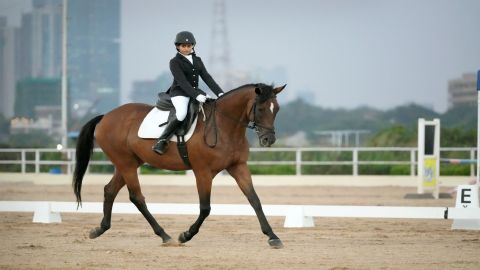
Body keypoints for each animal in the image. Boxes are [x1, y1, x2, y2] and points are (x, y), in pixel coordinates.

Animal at [72, 83, 284, 249]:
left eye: (277, 109)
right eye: (261, 109)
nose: (269, 140)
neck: (224, 126)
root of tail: (106, 116)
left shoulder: (238, 166)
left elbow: (255, 200)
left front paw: (273, 237)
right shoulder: (203, 172)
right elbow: (205, 208)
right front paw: (186, 235)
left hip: (129, 163)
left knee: (110, 190)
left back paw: (100, 229)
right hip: (126, 164)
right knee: (136, 197)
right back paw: (165, 235)